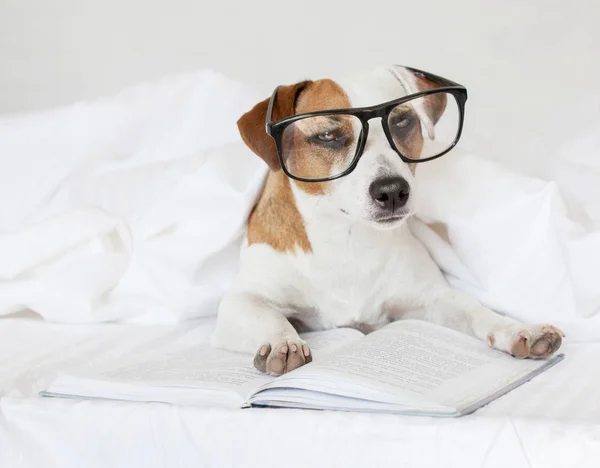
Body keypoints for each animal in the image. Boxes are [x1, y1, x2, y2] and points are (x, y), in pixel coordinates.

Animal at [211, 65, 564, 376]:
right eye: (327, 135)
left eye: (402, 121)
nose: (393, 191)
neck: (346, 239)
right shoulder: (241, 302)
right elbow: (268, 317)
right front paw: (282, 342)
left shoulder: (432, 298)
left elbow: (475, 309)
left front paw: (516, 329)